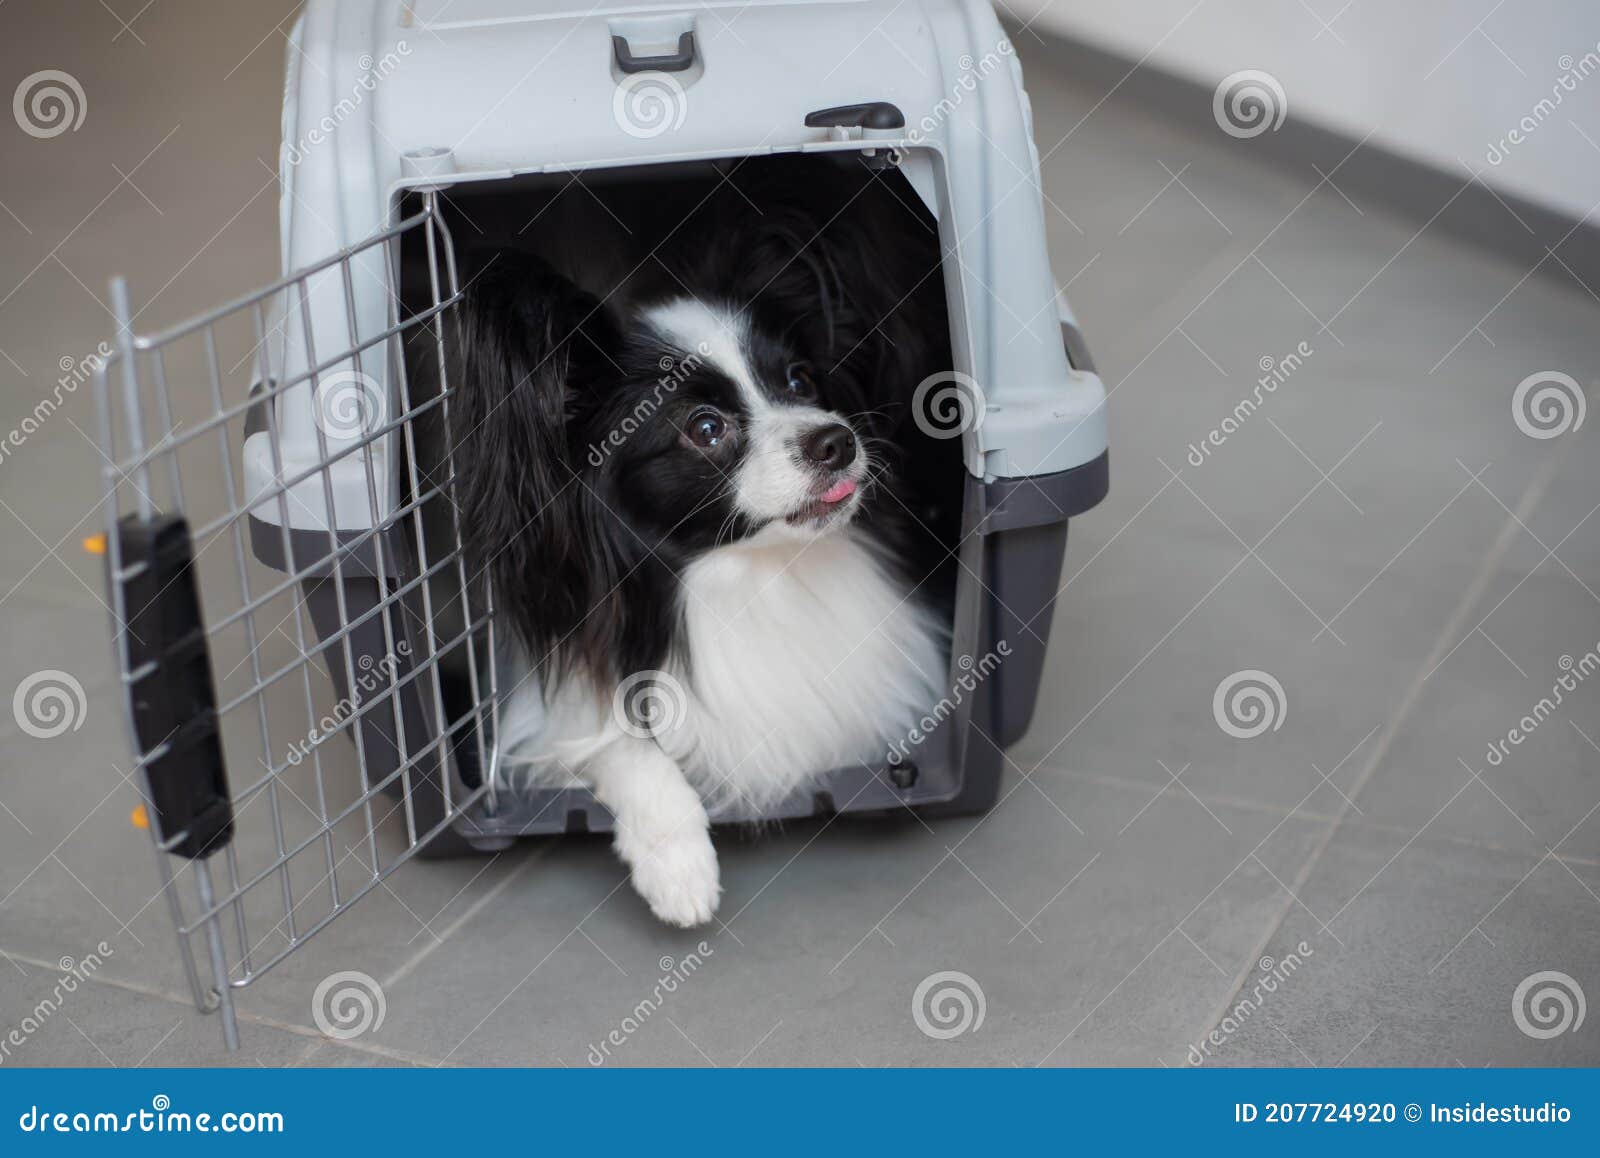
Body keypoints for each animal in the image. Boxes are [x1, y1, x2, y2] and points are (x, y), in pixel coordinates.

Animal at [444, 171, 953, 927]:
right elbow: (621, 739)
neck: (751, 577)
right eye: (705, 427)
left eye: (801, 381)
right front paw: (678, 864)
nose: (836, 440)